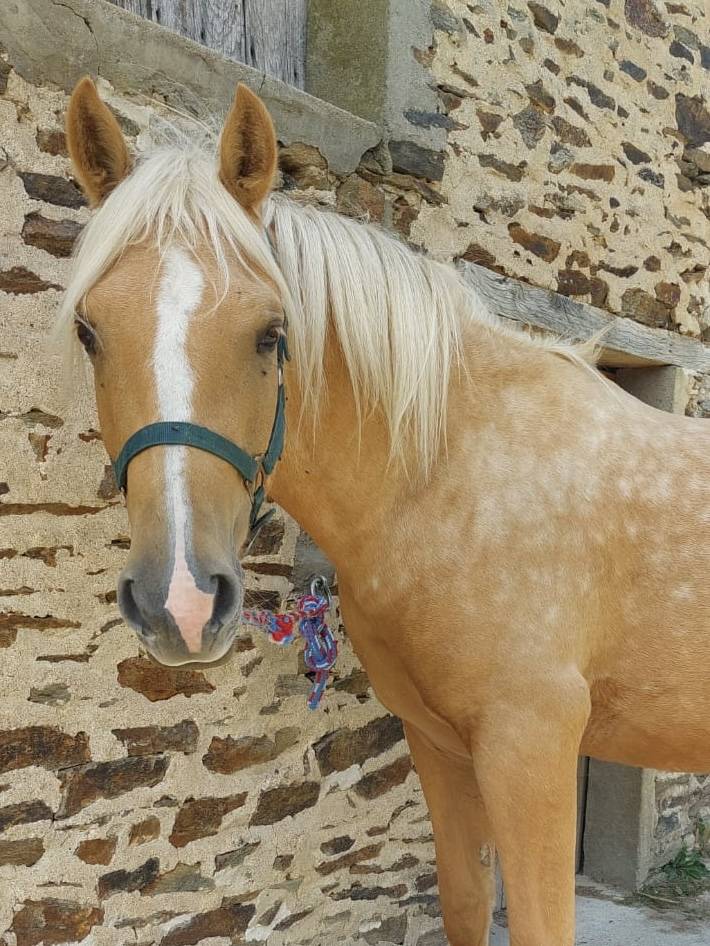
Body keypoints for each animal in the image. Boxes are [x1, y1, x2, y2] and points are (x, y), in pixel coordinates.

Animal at [59, 77, 710, 946]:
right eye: (89, 330)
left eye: (271, 332)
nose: (182, 603)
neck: (451, 476)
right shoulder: (441, 746)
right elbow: (464, 902)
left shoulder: (531, 746)